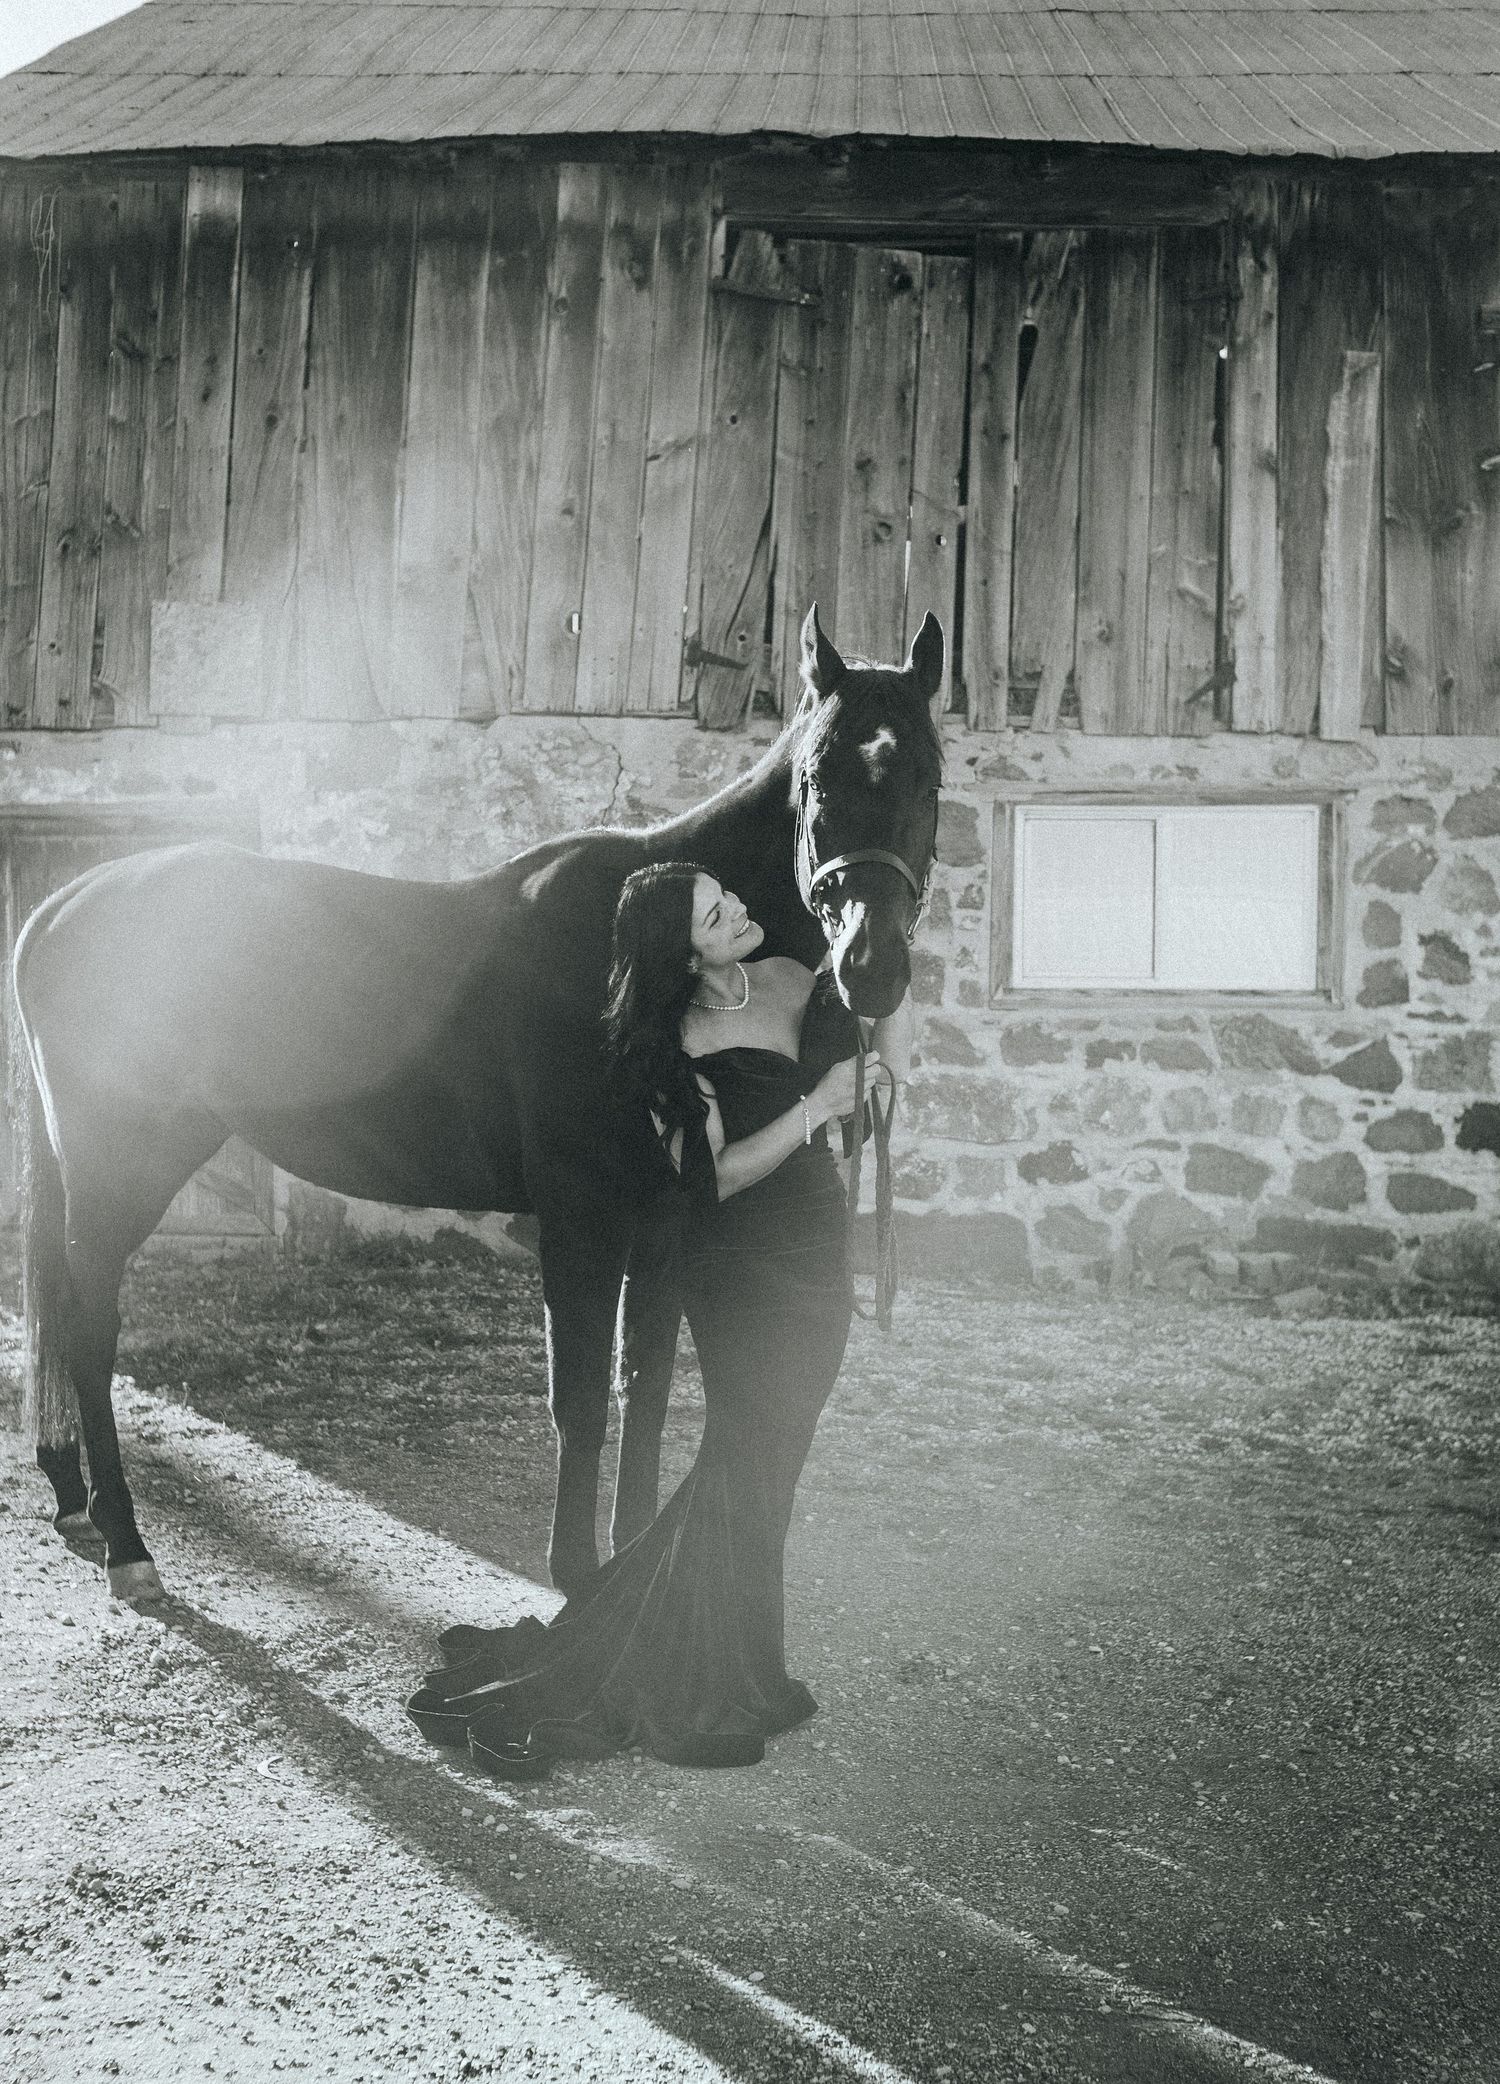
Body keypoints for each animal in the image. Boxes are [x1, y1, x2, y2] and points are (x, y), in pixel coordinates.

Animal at [13, 605, 944, 1603]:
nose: (871, 968)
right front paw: (575, 1574)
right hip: (124, 1165)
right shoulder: (582, 1215)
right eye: (817, 778)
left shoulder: (664, 1218)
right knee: (88, 1324)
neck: (635, 960)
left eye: (928, 777)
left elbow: (646, 1388)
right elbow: (579, 1400)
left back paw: (72, 1499)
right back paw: (127, 1544)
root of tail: (61, 908)